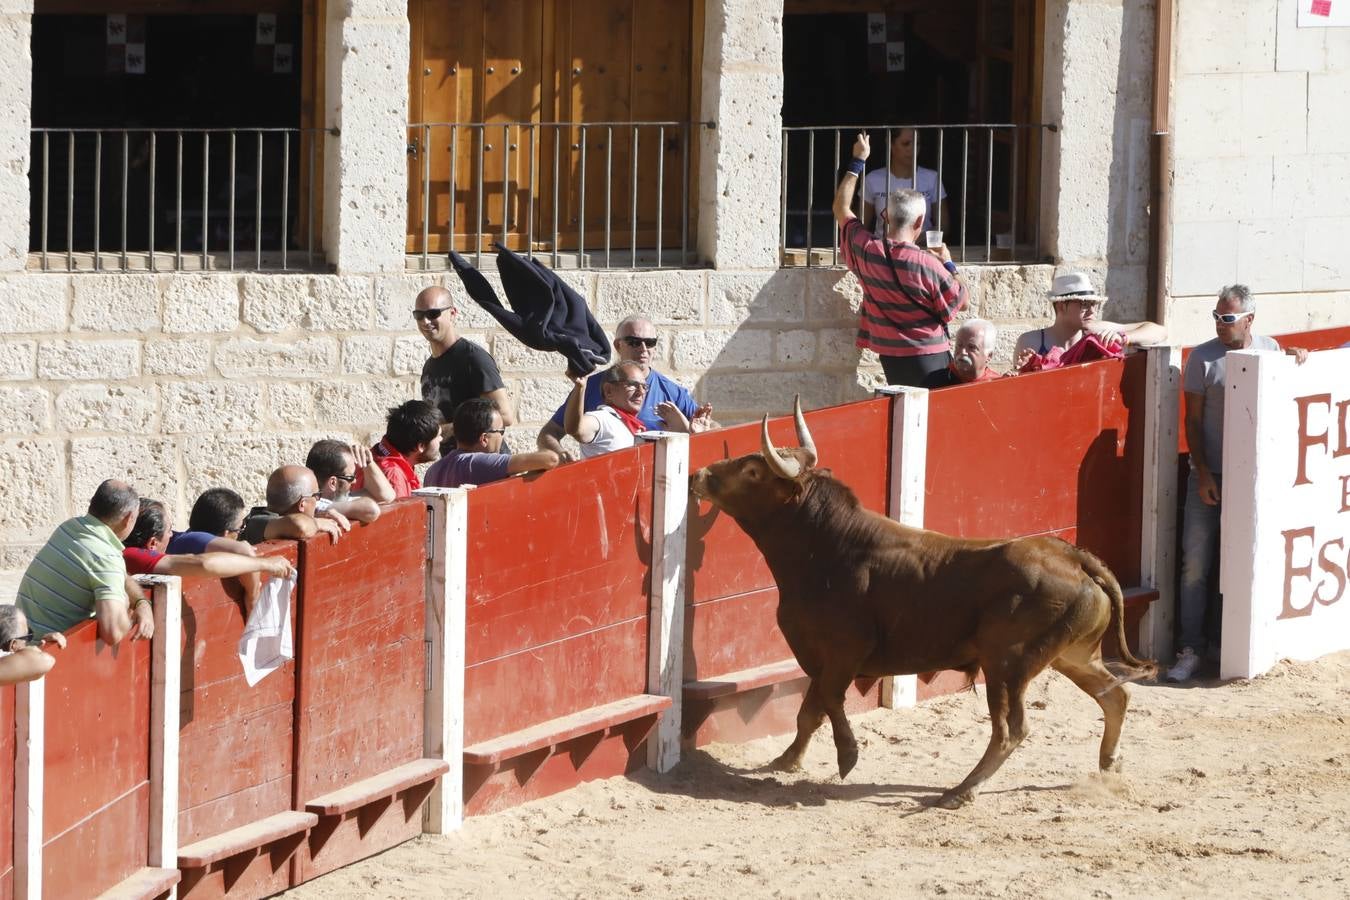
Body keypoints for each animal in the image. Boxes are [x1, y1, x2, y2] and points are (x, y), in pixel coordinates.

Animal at [691, 396, 1155, 804]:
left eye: (753, 470)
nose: (698, 475)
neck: (825, 545)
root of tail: (1075, 557)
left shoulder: (843, 651)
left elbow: (829, 701)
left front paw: (847, 756)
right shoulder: (818, 656)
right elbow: (810, 710)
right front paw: (786, 761)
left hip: (1007, 663)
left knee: (1011, 729)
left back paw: (961, 791)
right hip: (1074, 655)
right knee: (1115, 697)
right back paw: (1108, 768)